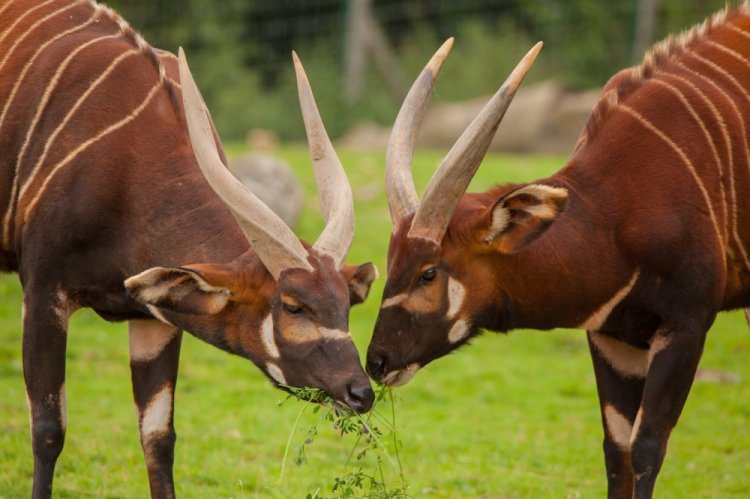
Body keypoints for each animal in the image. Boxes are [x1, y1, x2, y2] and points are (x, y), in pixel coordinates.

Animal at [0, 0, 376, 499]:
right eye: (293, 306)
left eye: (346, 304)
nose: (361, 392)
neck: (126, 165)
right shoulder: (44, 295)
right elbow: (47, 430)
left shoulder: (151, 319)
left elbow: (158, 437)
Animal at [368, 4, 750, 499]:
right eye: (391, 262)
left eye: (428, 273)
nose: (376, 361)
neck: (614, 208)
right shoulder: (613, 339)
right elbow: (617, 450)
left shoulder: (685, 327)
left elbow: (647, 446)